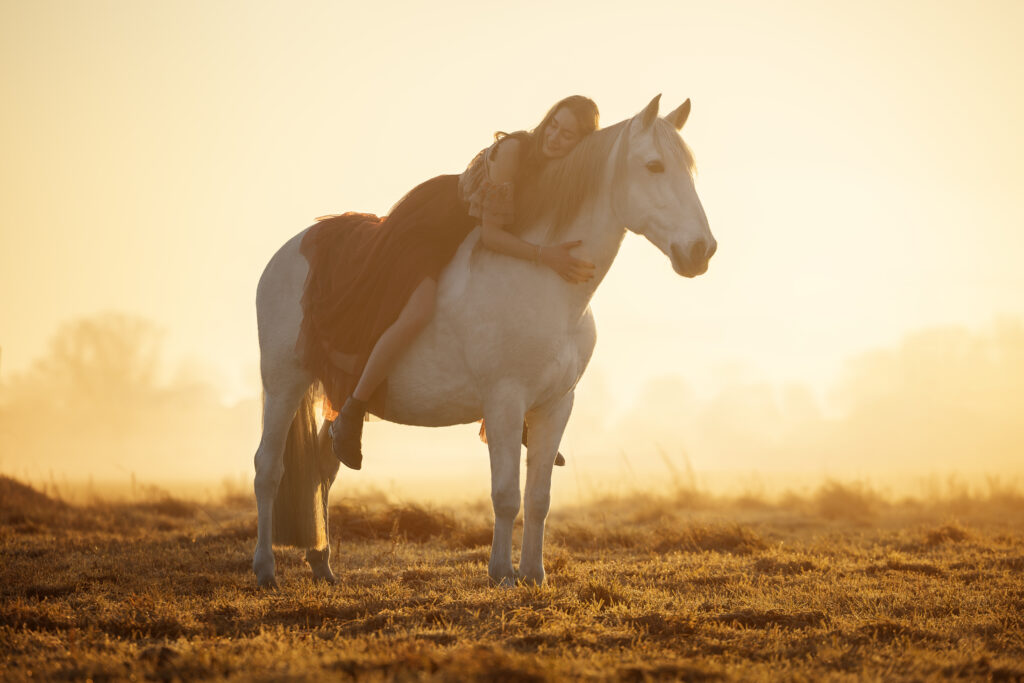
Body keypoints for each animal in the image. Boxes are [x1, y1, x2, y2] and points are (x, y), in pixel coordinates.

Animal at [252, 94, 716, 588]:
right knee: (268, 469)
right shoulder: (504, 402)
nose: (701, 250)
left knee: (322, 467)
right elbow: (506, 494)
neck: (544, 283)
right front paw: (502, 574)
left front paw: (534, 574)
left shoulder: (556, 405)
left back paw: (322, 563)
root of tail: (293, 249)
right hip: (284, 384)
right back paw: (265, 569)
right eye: (654, 166)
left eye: (690, 169)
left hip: (332, 391)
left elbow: (539, 498)